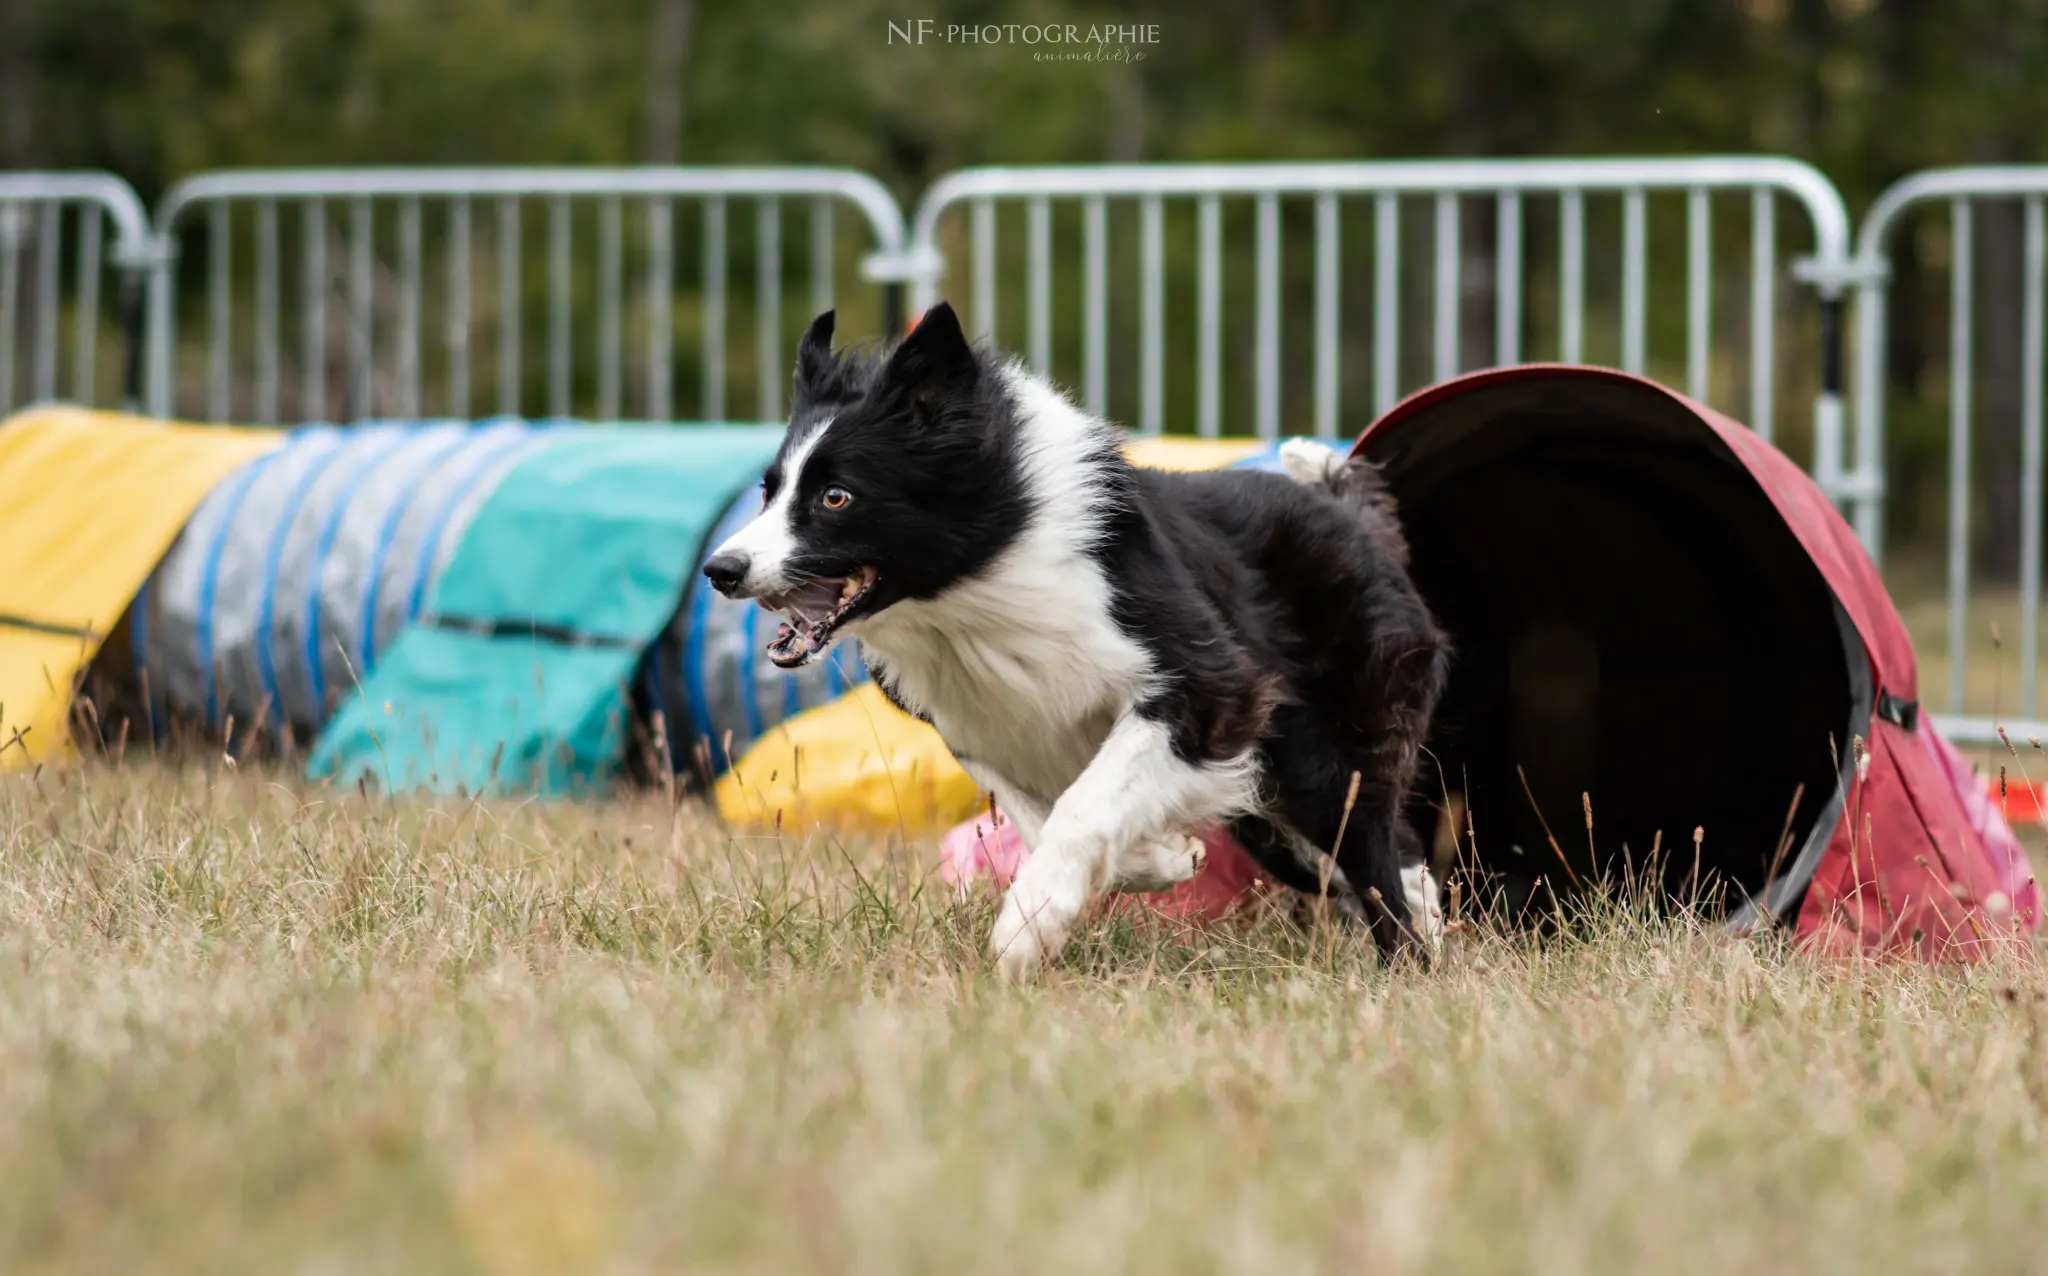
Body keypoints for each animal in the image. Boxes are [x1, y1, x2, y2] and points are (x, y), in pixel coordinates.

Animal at [712, 301, 1449, 979]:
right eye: (768, 491)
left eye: (836, 497)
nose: (720, 570)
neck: (975, 579)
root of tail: (1350, 512)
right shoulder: (984, 730)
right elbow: (1047, 816)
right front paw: (1164, 858)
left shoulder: (1213, 689)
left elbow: (1083, 806)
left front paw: (1024, 930)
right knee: (1391, 854)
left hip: (1322, 754)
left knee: (1375, 857)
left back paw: (1410, 966)